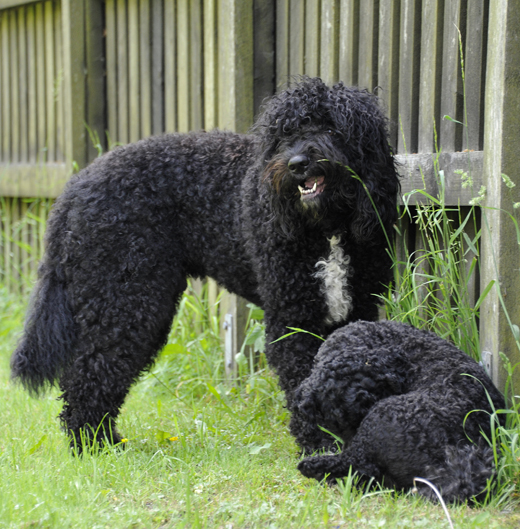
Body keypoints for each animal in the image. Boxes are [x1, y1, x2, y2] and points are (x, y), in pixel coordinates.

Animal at [10, 78, 398, 448]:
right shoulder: (294, 318)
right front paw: (320, 444)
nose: (297, 164)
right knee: (89, 372)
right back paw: (94, 444)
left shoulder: (356, 309)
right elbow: (306, 383)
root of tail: (74, 187)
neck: (326, 228)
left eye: (333, 129)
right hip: (126, 300)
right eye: (286, 133)